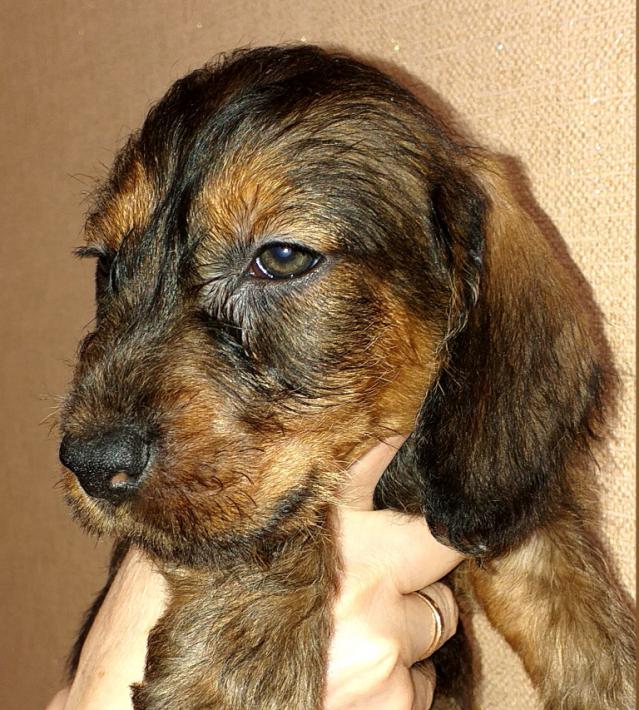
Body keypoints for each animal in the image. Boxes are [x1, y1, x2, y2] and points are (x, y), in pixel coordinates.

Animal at [58, 45, 635, 709]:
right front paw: (234, 671)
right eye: (107, 265)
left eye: (282, 257)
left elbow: (582, 609)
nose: (91, 462)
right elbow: (264, 529)